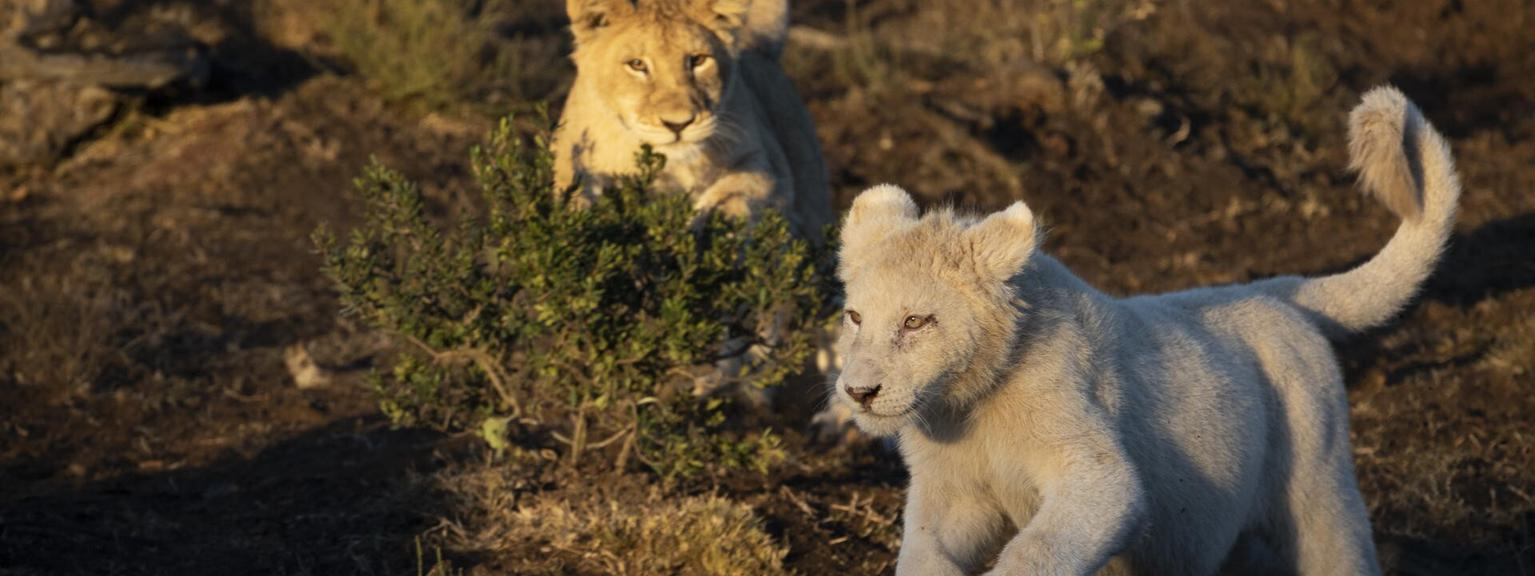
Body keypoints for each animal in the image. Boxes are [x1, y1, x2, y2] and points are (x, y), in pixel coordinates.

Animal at [554, 0, 831, 240]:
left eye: (698, 60)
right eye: (637, 64)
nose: (678, 124)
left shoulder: (768, 164)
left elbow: (736, 191)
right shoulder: (573, 161)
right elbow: (577, 197)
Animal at [831, 86, 1457, 575]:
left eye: (916, 320)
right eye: (856, 317)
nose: (859, 392)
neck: (967, 404)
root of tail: (1282, 291)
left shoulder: (1097, 472)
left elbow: (1043, 546)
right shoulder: (954, 492)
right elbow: (925, 551)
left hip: (1317, 481)